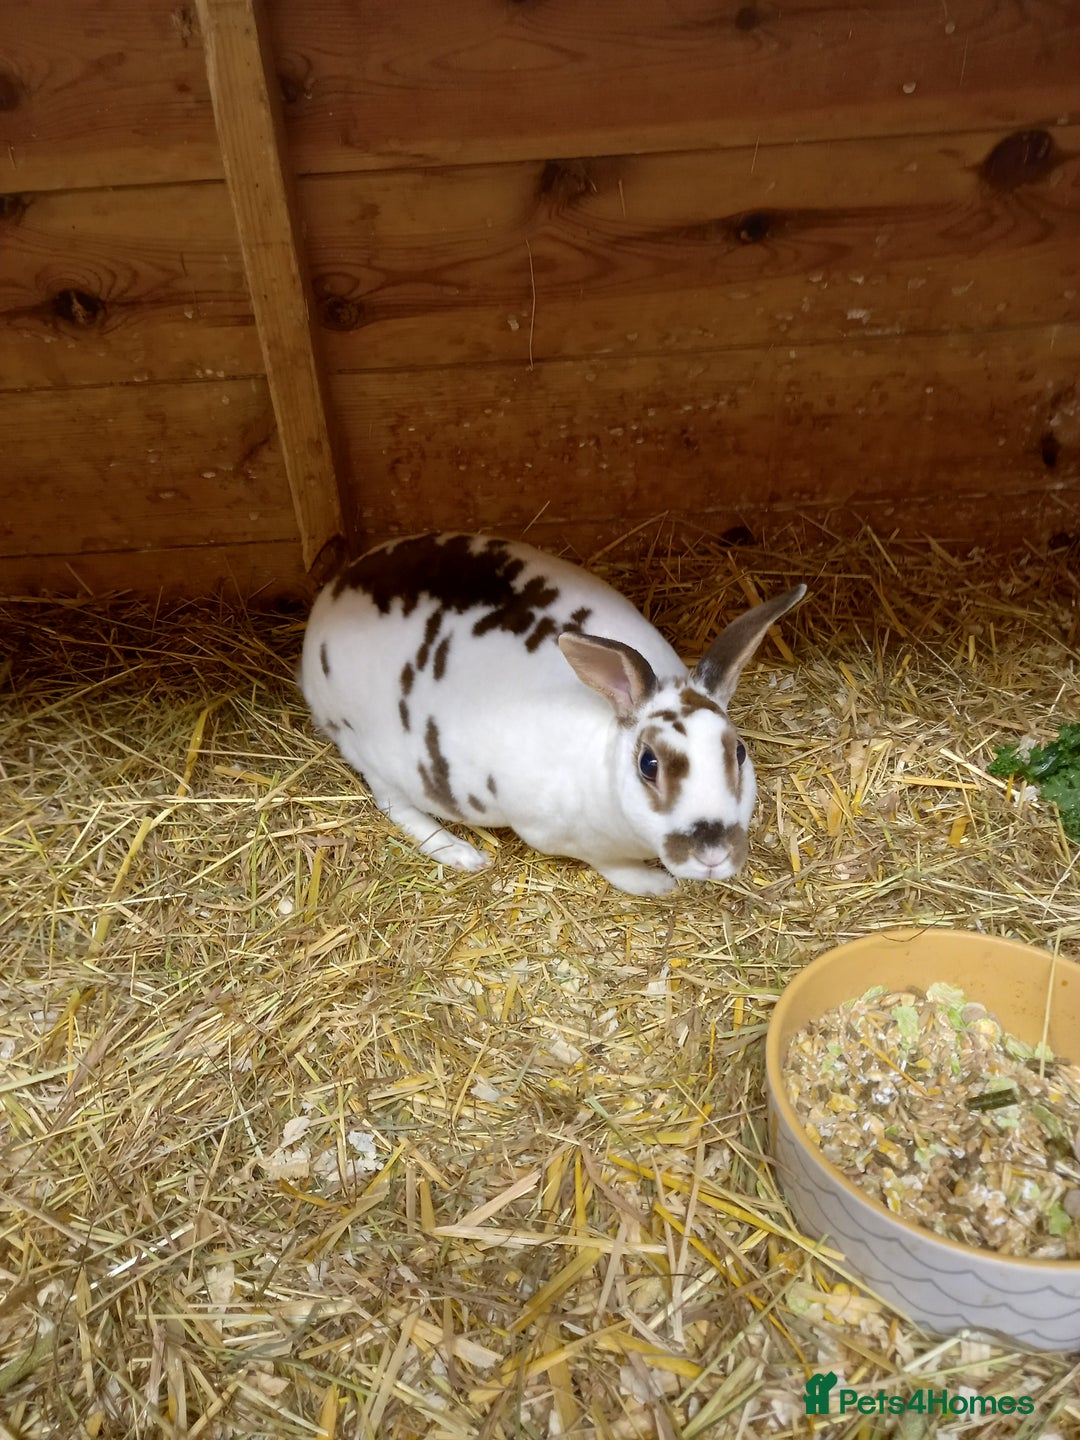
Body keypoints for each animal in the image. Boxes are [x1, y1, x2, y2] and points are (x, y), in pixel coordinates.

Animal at [299, 532, 805, 896]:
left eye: (738, 753)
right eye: (649, 764)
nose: (713, 854)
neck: (603, 745)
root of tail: (329, 599)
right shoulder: (554, 834)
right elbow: (610, 866)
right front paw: (658, 885)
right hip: (371, 754)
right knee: (396, 806)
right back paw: (462, 853)